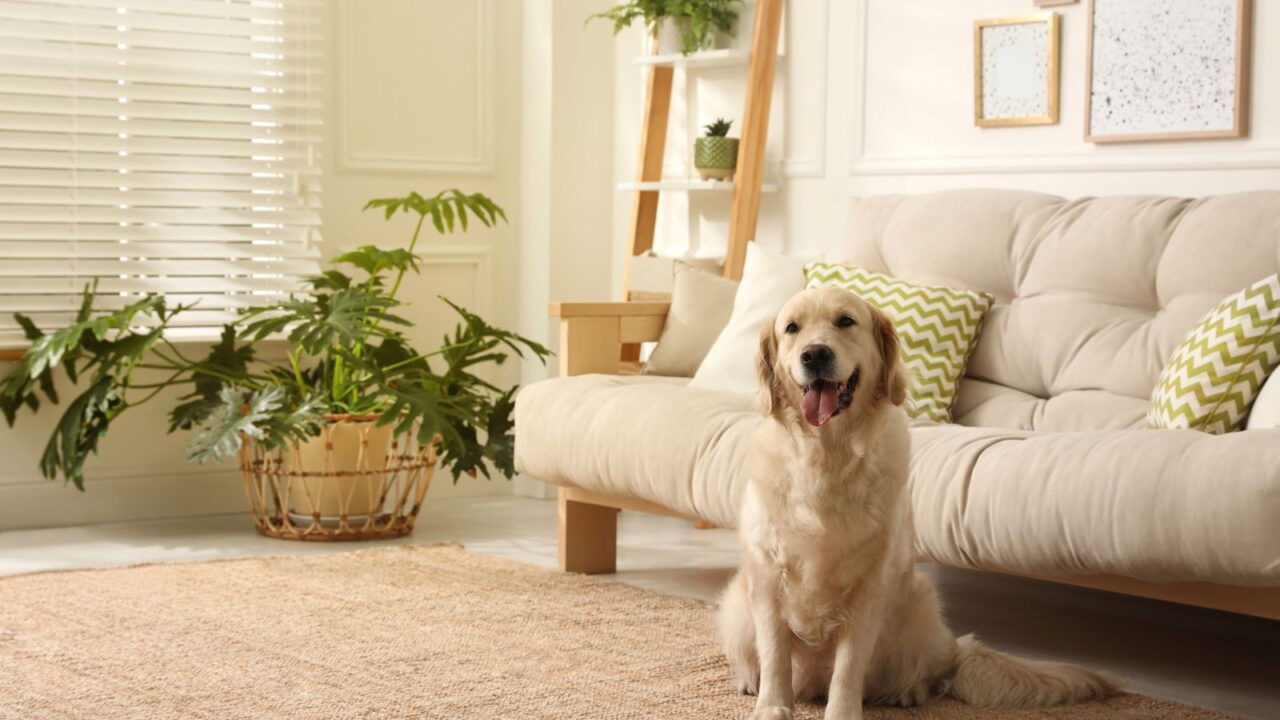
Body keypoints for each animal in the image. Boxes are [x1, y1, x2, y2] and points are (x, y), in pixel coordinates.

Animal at [721, 285, 1121, 717]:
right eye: (792, 328)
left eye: (845, 321)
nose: (814, 354)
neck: (826, 457)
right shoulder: (766, 578)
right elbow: (775, 656)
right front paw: (772, 708)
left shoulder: (869, 585)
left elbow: (848, 670)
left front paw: (842, 712)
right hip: (736, 606)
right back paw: (749, 681)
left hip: (921, 604)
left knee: (930, 674)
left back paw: (908, 692)